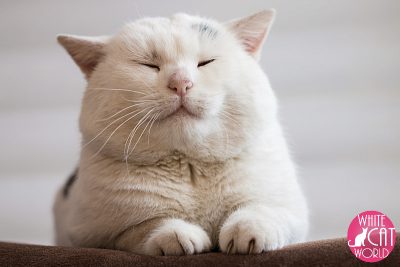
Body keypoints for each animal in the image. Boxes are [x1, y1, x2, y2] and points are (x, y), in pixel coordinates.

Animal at [54, 9, 310, 256]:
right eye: (148, 65)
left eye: (205, 62)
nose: (181, 83)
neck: (190, 168)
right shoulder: (91, 235)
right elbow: (143, 227)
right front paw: (177, 235)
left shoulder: (292, 211)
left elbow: (262, 210)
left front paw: (248, 231)